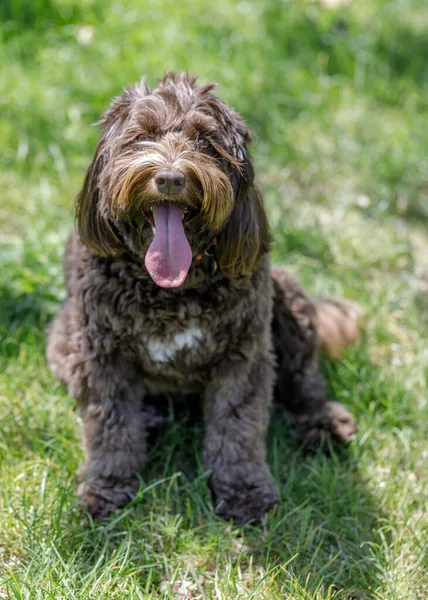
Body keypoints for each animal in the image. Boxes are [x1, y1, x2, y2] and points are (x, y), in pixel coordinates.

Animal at [47, 70, 362, 524]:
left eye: (205, 142)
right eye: (143, 135)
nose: (170, 178)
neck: (171, 289)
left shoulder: (243, 355)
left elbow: (237, 426)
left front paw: (244, 489)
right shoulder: (103, 356)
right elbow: (110, 425)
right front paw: (107, 486)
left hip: (288, 301)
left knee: (303, 380)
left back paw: (321, 421)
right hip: (62, 339)